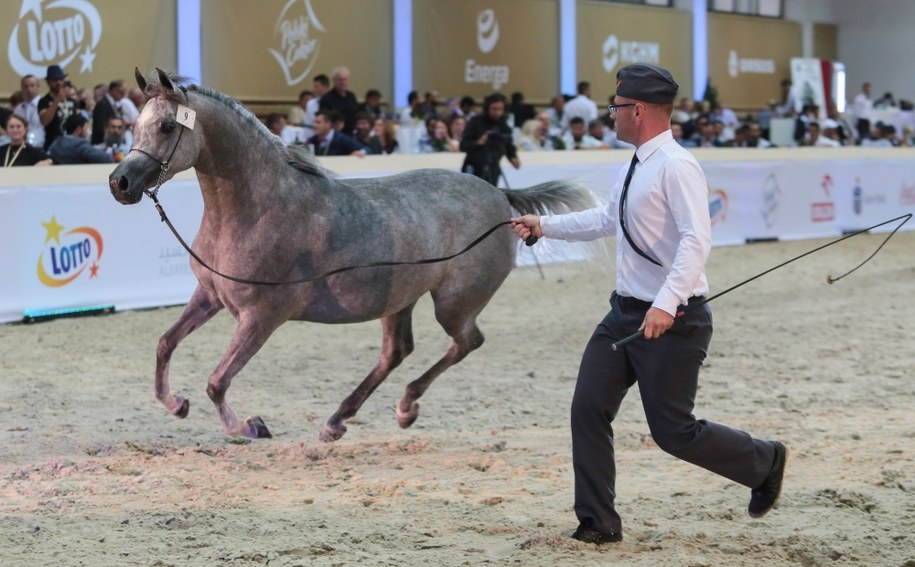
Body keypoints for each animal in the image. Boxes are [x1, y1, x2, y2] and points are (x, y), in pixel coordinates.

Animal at [109, 70, 592, 444]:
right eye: (135, 126)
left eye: (167, 127)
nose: (120, 183)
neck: (261, 207)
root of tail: (500, 196)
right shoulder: (209, 295)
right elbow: (165, 344)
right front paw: (175, 404)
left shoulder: (262, 315)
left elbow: (217, 381)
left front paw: (249, 427)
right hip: (399, 300)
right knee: (396, 351)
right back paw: (339, 420)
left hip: (454, 303)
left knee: (466, 342)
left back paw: (404, 406)